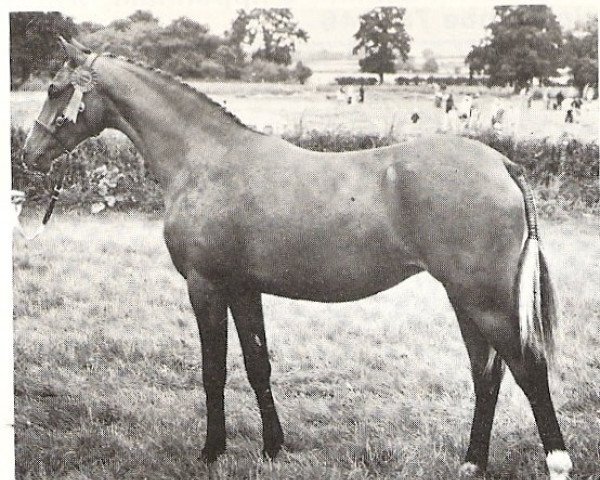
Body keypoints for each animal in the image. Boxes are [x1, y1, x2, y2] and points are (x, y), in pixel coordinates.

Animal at [19, 38, 572, 480]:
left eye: (54, 88)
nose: (28, 154)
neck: (204, 160)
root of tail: (501, 163)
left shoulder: (205, 285)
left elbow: (213, 369)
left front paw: (211, 452)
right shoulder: (243, 288)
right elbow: (257, 365)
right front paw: (273, 447)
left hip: (486, 301)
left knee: (528, 370)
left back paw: (556, 463)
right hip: (466, 300)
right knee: (487, 374)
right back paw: (472, 461)